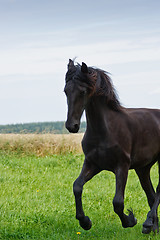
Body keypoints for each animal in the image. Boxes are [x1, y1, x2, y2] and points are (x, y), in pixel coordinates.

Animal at [64, 59, 160, 233]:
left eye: (83, 91)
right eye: (66, 91)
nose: (71, 126)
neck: (105, 130)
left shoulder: (122, 166)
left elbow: (118, 202)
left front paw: (131, 220)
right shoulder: (93, 164)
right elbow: (77, 186)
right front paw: (85, 222)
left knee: (158, 190)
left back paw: (147, 223)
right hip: (143, 167)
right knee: (151, 194)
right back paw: (153, 228)